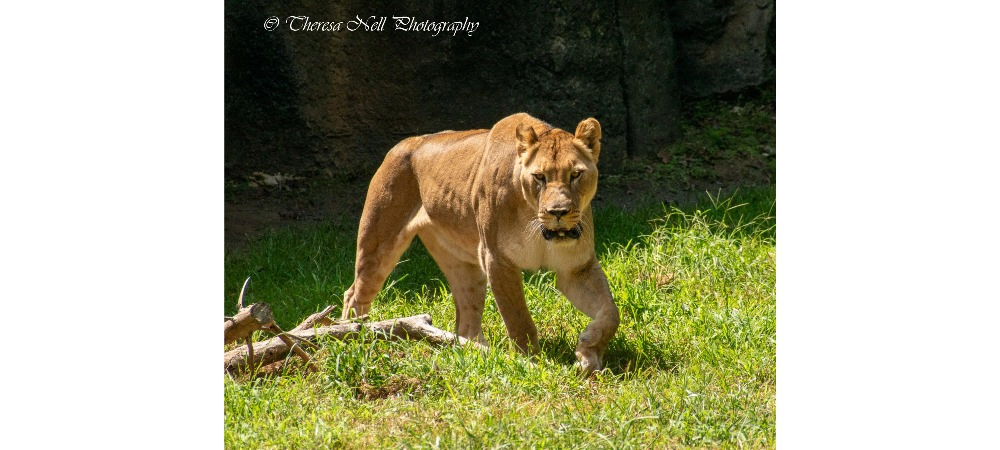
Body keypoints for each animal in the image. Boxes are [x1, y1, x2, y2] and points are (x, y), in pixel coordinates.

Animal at [341, 113, 620, 373]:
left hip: (462, 266)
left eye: (575, 174)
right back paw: (354, 335)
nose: (558, 212)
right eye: (539, 177)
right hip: (378, 243)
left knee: (465, 321)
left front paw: (588, 352)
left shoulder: (576, 268)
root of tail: (405, 142)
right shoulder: (497, 260)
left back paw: (477, 352)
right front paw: (530, 363)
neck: (535, 222)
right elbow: (518, 318)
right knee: (354, 294)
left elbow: (610, 313)